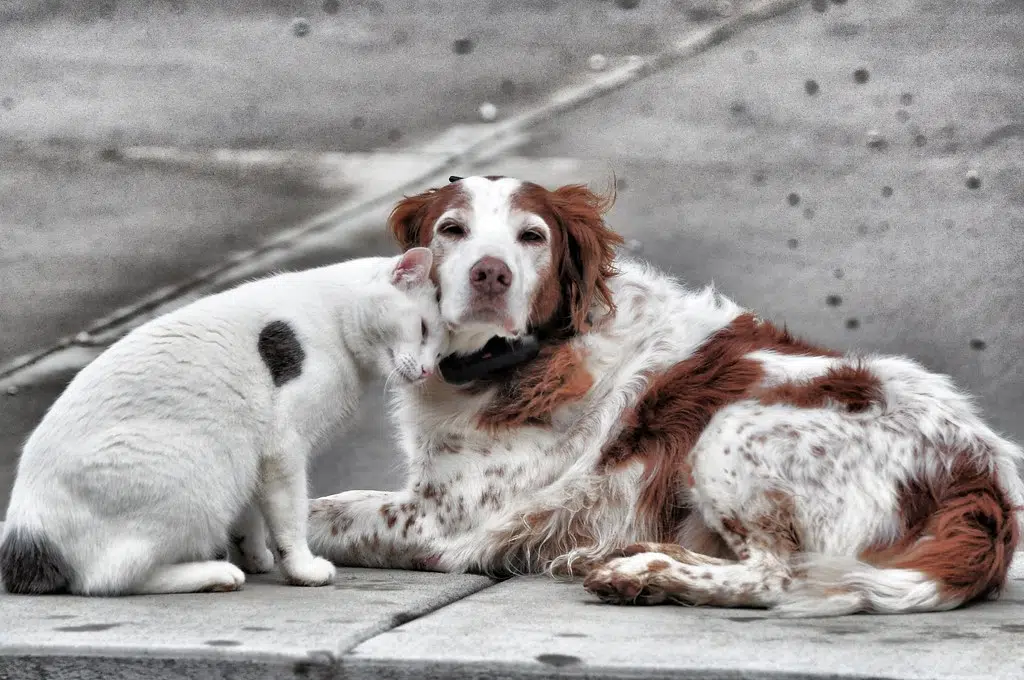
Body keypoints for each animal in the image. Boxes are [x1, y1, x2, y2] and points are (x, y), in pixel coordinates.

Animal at [2, 248, 446, 593]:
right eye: (424, 329)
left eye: (440, 347)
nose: (428, 371)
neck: (333, 317)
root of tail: (26, 531)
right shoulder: (283, 446)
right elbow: (290, 516)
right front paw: (302, 569)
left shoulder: (254, 454)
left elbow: (251, 513)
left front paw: (256, 555)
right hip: (196, 471)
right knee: (108, 579)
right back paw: (216, 573)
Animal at [307, 174, 1019, 614]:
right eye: (450, 229)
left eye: (532, 236)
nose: (490, 274)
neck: (520, 360)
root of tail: (982, 477)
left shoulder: (445, 520)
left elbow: (324, 513)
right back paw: (631, 556)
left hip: (729, 433)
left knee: (775, 575)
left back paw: (639, 577)